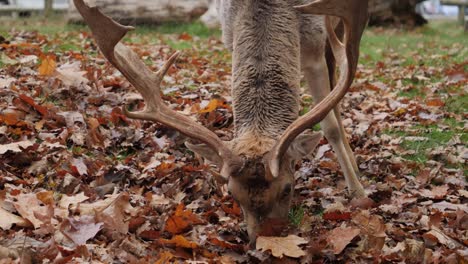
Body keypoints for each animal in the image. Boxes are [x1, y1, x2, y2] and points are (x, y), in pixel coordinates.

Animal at [73, 0, 368, 242]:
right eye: (234, 194)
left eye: (287, 188)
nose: (262, 245)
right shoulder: (229, 37)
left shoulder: (314, 46)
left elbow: (330, 124)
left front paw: (359, 194)